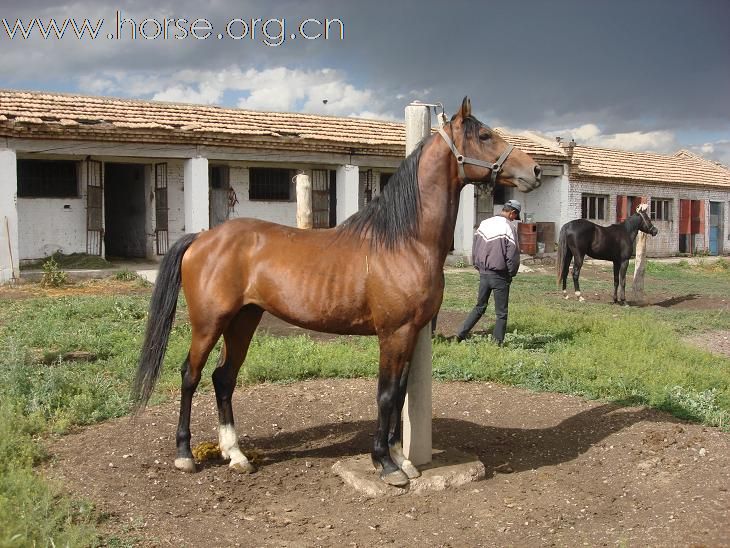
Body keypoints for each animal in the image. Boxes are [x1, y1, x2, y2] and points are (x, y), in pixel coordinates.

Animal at [132, 96, 540, 486]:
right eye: (484, 135)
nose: (534, 171)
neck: (404, 241)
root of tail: (203, 237)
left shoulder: (409, 332)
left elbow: (400, 394)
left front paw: (403, 460)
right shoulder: (393, 333)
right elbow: (386, 394)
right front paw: (386, 465)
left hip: (243, 320)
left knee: (224, 378)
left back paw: (236, 455)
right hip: (209, 322)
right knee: (190, 375)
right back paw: (185, 455)